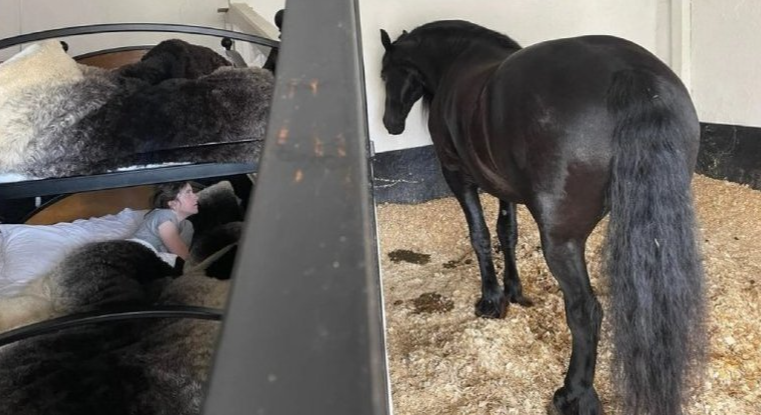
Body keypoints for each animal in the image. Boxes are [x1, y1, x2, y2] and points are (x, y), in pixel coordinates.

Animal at [379, 20, 706, 415]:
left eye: (384, 73)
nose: (390, 123)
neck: (457, 62)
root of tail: (631, 73)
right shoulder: (504, 188)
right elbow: (507, 233)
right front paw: (514, 291)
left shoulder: (457, 176)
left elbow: (480, 235)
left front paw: (492, 300)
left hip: (561, 241)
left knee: (585, 311)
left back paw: (574, 395)